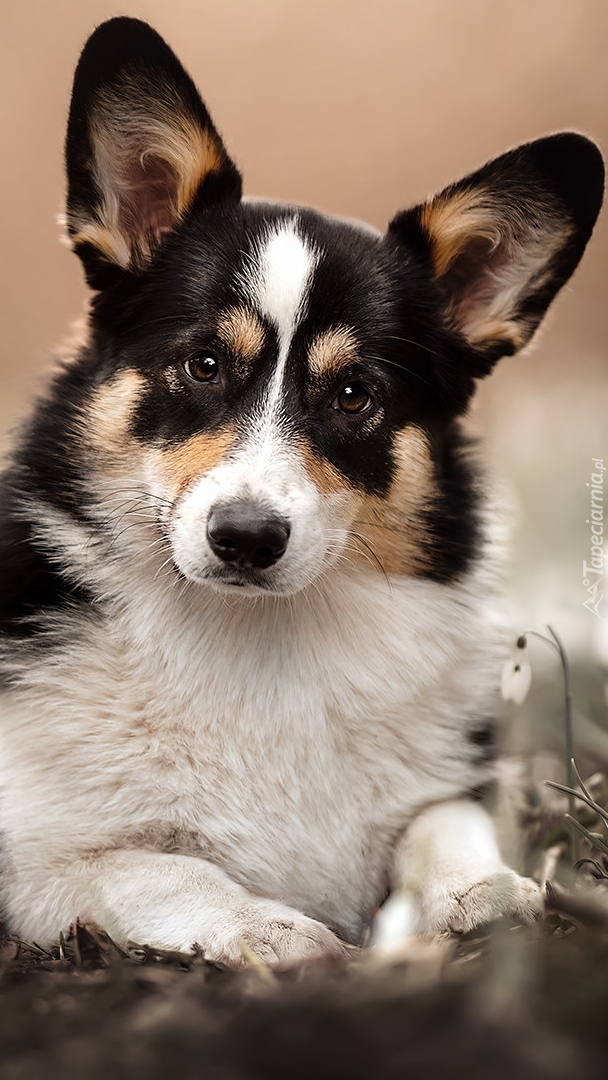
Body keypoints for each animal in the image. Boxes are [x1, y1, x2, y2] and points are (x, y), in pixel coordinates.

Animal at [0, 14, 600, 963]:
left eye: (353, 395)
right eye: (205, 364)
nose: (246, 539)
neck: (261, 637)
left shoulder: (449, 787)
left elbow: (445, 823)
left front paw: (478, 890)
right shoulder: (43, 866)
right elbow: (162, 868)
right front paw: (272, 928)